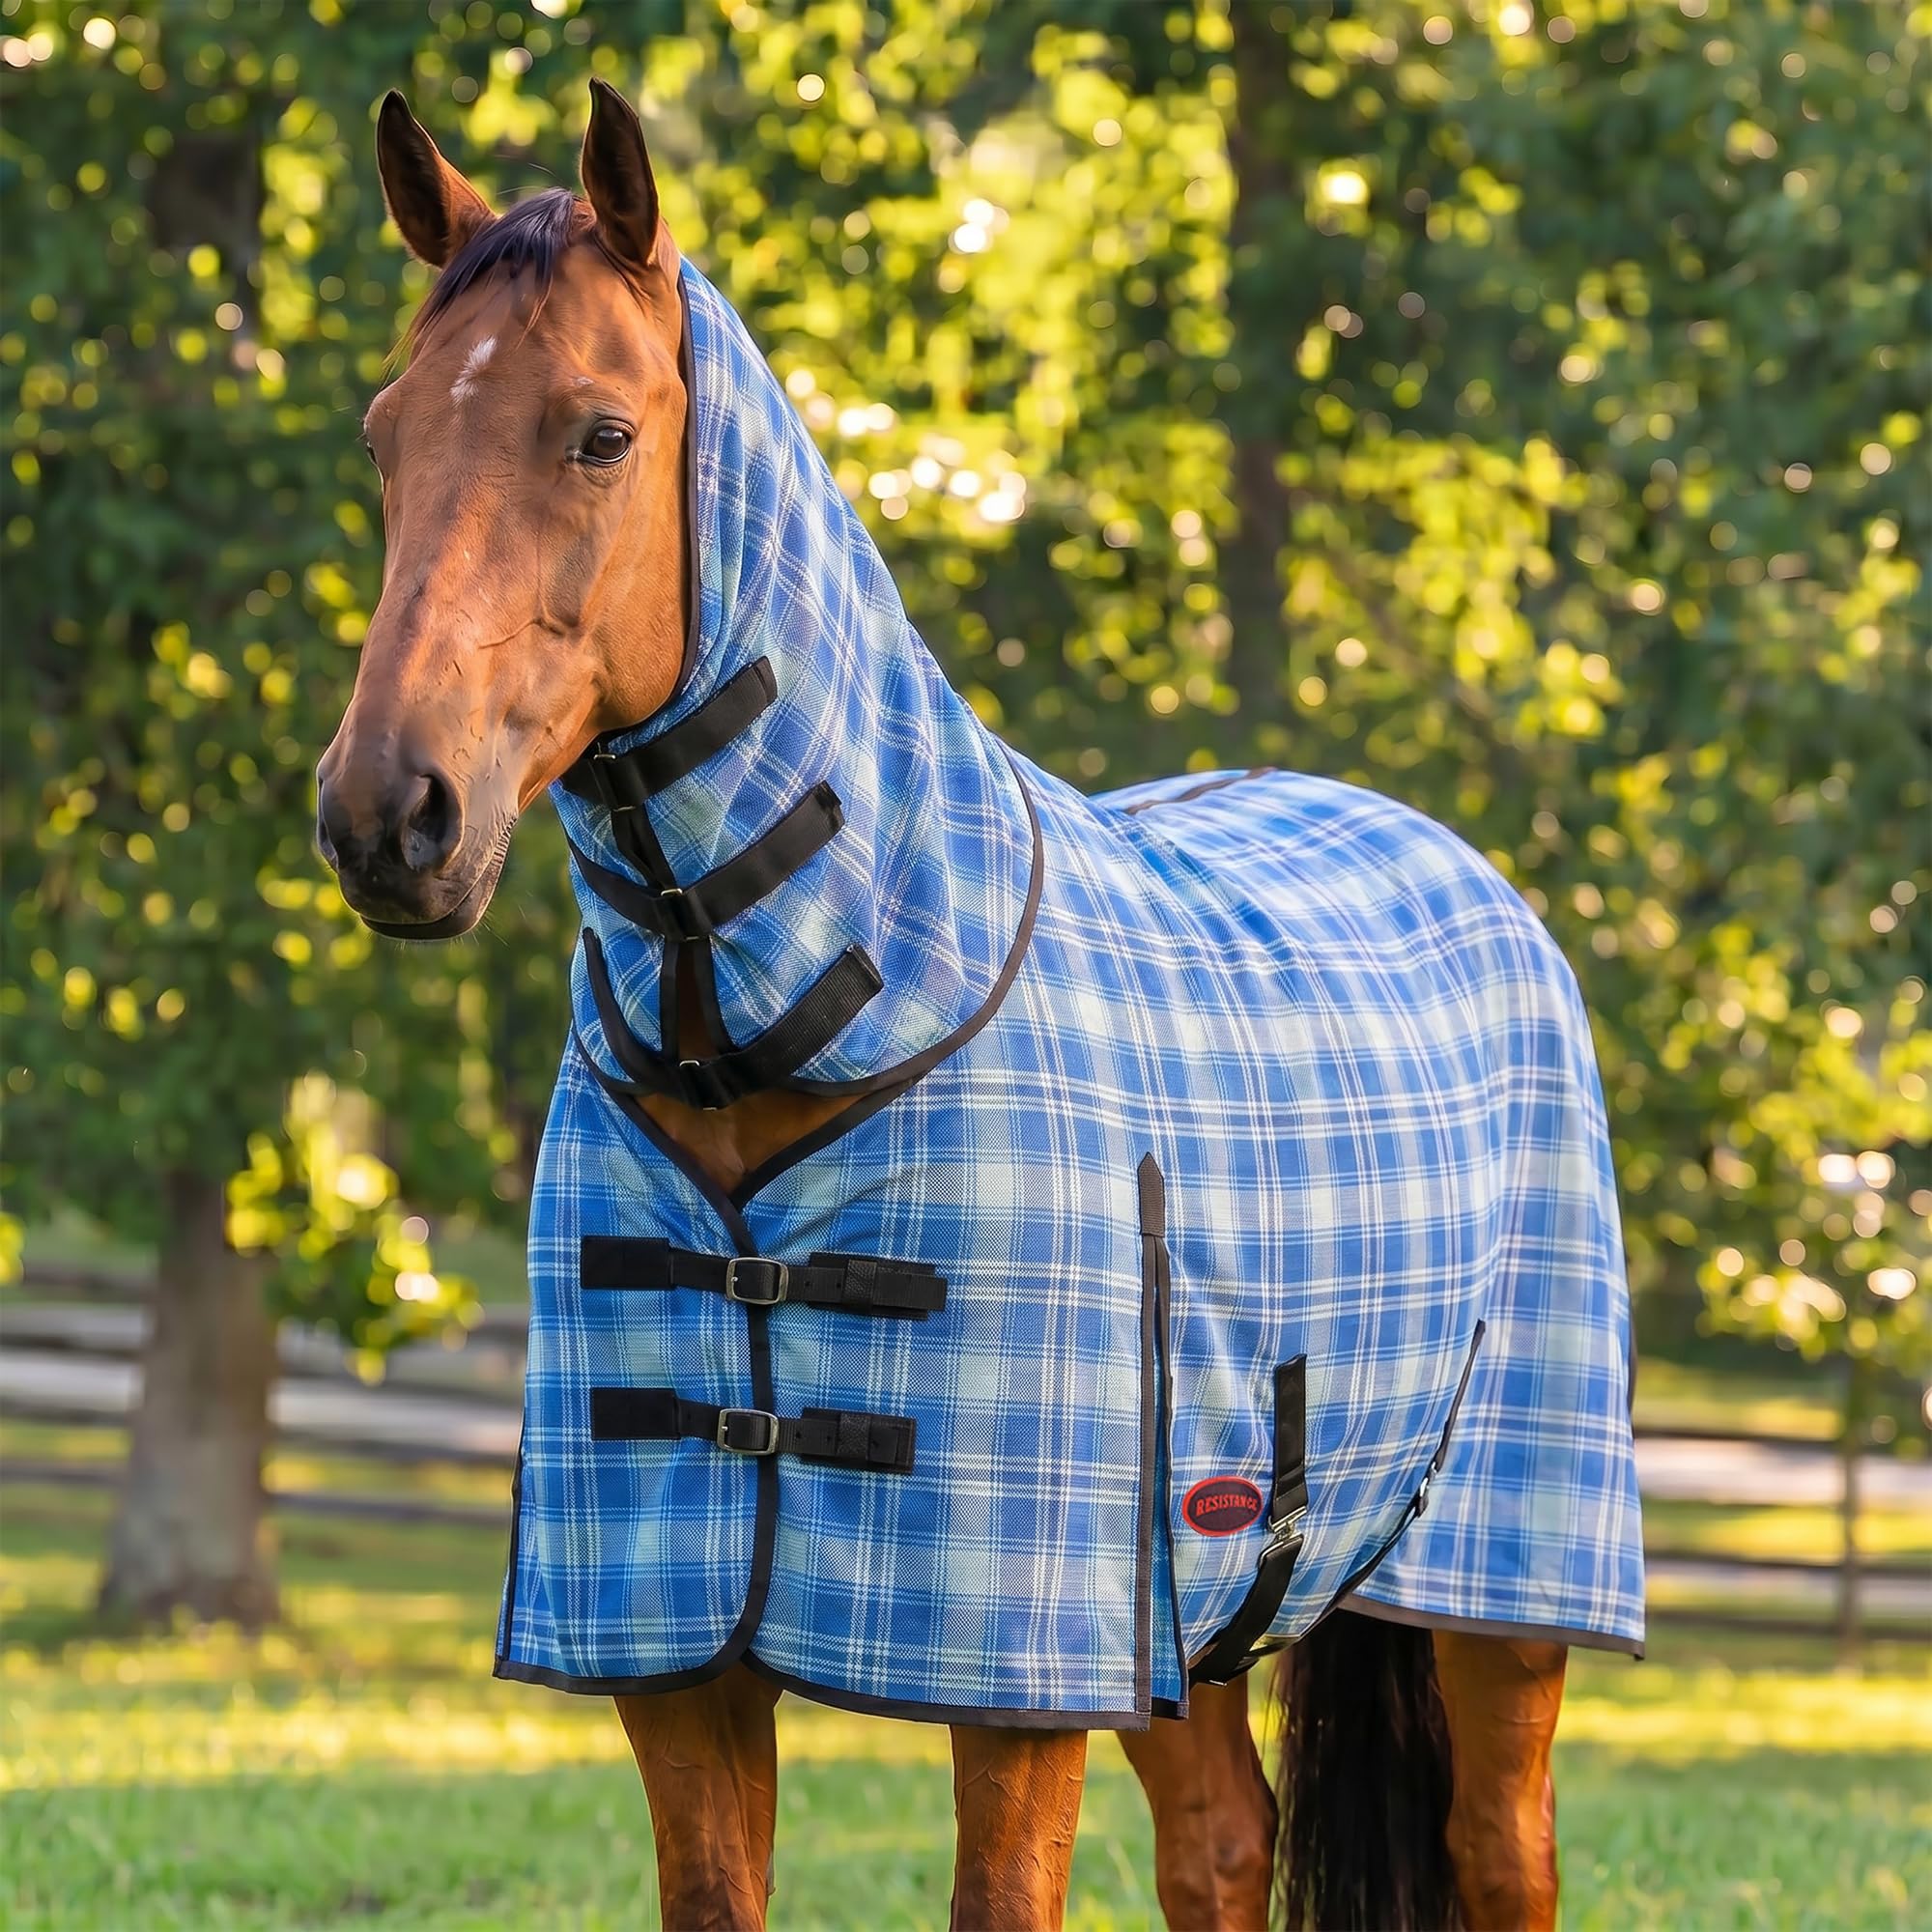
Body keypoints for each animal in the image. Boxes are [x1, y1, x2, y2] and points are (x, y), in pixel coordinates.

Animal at [317, 83, 1642, 1930]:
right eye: (385, 440)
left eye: (598, 434)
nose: (390, 817)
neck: (801, 1017)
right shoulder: (682, 1661)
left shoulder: (1014, 1677)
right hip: (1189, 1608)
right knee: (1223, 1849)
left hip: (1495, 1598)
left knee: (1500, 1857)